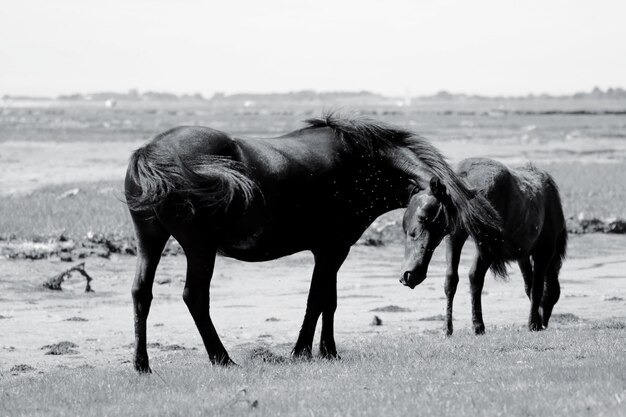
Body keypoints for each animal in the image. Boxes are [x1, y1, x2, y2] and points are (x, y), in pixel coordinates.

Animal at [125, 113, 502, 370]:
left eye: (442, 229)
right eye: (424, 218)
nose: (413, 276)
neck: (355, 164)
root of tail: (151, 151)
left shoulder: (332, 251)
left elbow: (327, 302)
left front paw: (328, 351)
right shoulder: (332, 250)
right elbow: (317, 300)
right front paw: (304, 351)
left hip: (150, 239)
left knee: (142, 293)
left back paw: (142, 364)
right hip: (199, 249)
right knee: (195, 297)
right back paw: (222, 359)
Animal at [400, 158, 564, 334]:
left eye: (423, 216)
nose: (407, 276)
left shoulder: (487, 245)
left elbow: (475, 278)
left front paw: (478, 325)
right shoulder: (454, 237)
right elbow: (451, 279)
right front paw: (447, 328)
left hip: (542, 251)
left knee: (537, 285)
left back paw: (534, 323)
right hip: (526, 255)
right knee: (532, 284)